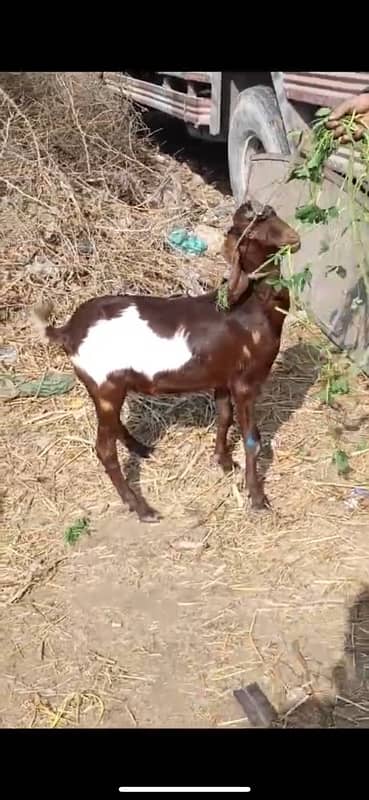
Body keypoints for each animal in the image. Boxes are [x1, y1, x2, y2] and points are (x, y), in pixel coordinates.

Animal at [30, 200, 300, 520]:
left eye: (271, 215)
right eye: (253, 231)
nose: (294, 239)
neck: (251, 307)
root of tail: (68, 331)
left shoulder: (222, 377)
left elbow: (224, 416)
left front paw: (223, 462)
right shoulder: (246, 382)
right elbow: (252, 439)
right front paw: (258, 499)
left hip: (104, 387)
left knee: (114, 424)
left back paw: (142, 449)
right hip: (105, 385)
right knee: (104, 449)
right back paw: (141, 507)